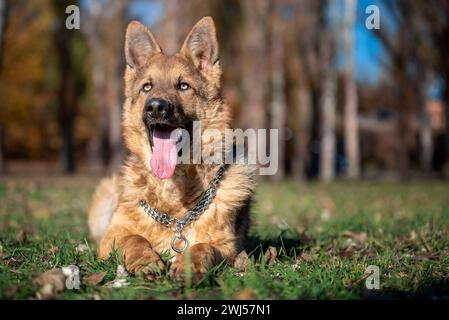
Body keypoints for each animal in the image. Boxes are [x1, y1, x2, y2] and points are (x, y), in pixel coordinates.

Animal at [87, 17, 256, 282]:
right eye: (147, 87)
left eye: (183, 86)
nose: (156, 107)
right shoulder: (111, 237)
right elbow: (133, 238)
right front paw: (145, 259)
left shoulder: (227, 248)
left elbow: (203, 246)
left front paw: (189, 263)